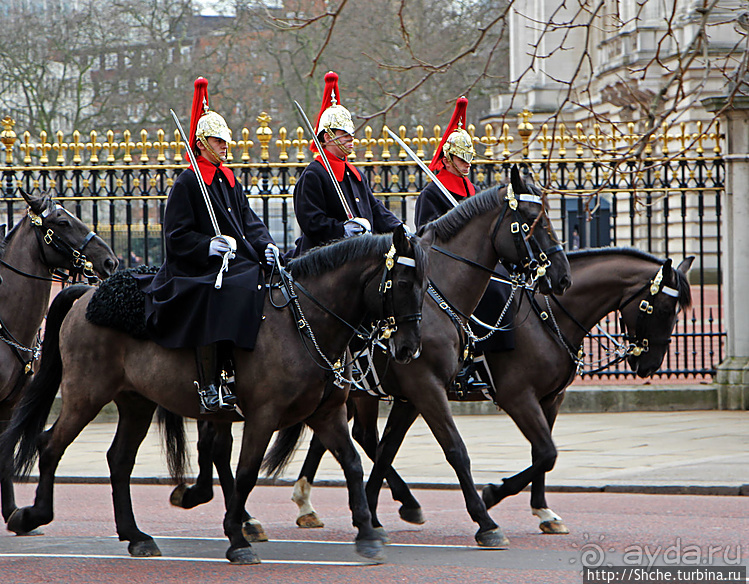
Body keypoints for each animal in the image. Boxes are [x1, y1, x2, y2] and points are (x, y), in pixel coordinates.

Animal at [0, 224, 430, 560]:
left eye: (426, 285)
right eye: (402, 283)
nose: (409, 349)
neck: (303, 321)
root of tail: (88, 294)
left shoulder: (327, 412)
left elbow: (353, 464)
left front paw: (368, 534)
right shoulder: (263, 415)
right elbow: (246, 473)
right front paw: (237, 538)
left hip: (136, 401)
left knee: (119, 460)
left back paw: (136, 536)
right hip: (85, 393)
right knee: (49, 444)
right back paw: (31, 515)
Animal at [288, 246, 696, 532]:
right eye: (663, 308)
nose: (649, 366)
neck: (548, 315)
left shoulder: (550, 398)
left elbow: (542, 454)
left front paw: (543, 510)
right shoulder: (517, 397)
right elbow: (546, 452)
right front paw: (493, 495)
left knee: (353, 437)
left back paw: (327, 502)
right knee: (355, 436)